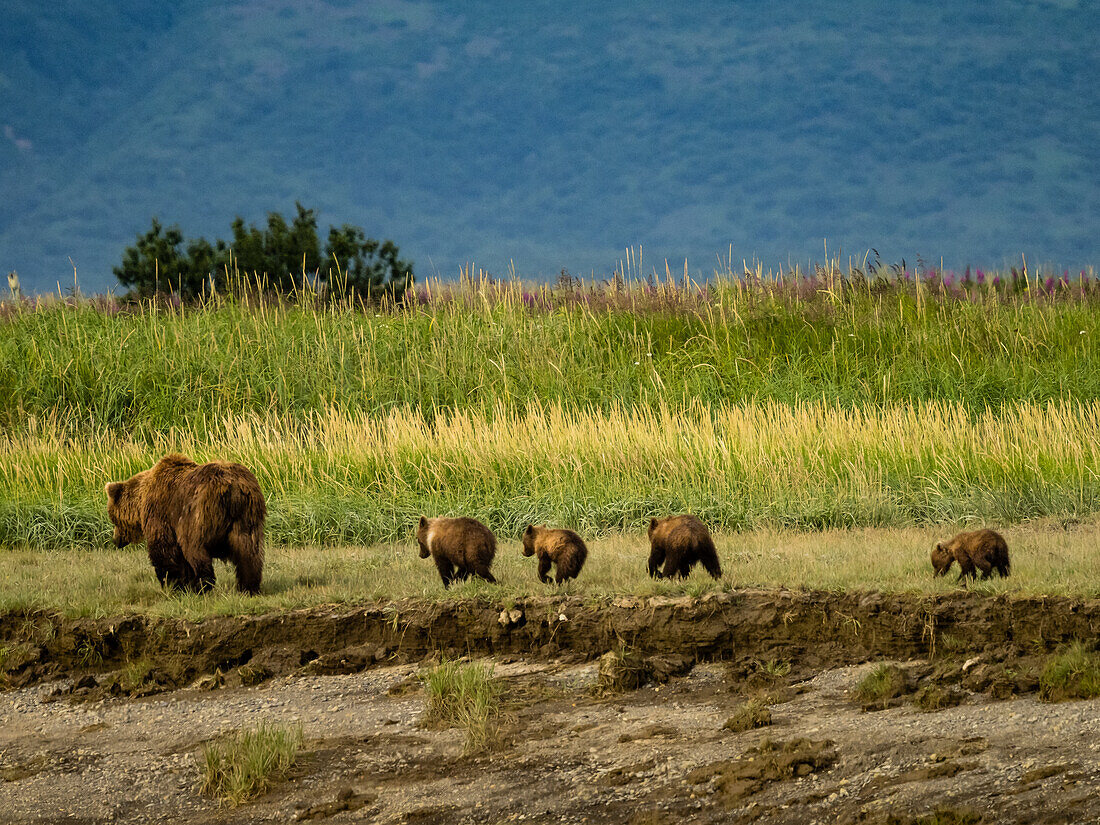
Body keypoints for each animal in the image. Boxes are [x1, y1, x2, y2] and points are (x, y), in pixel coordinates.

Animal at [104, 455, 266, 598]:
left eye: (113, 518)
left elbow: (164, 549)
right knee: (248, 551)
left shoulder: (161, 511)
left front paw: (172, 584)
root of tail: (232, 487)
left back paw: (202, 586)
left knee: (195, 549)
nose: (115, 540)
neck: (141, 500)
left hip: (197, 515)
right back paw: (249, 587)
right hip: (247, 514)